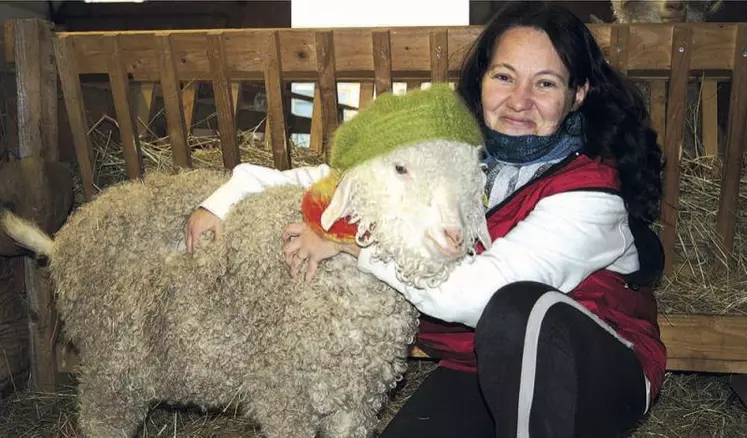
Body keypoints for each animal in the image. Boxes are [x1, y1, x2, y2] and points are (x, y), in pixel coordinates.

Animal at [4, 139, 490, 434]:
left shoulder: (354, 399)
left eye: (474, 177)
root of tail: (66, 238)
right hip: (111, 368)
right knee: (101, 418)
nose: (454, 237)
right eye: (400, 168)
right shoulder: (282, 395)